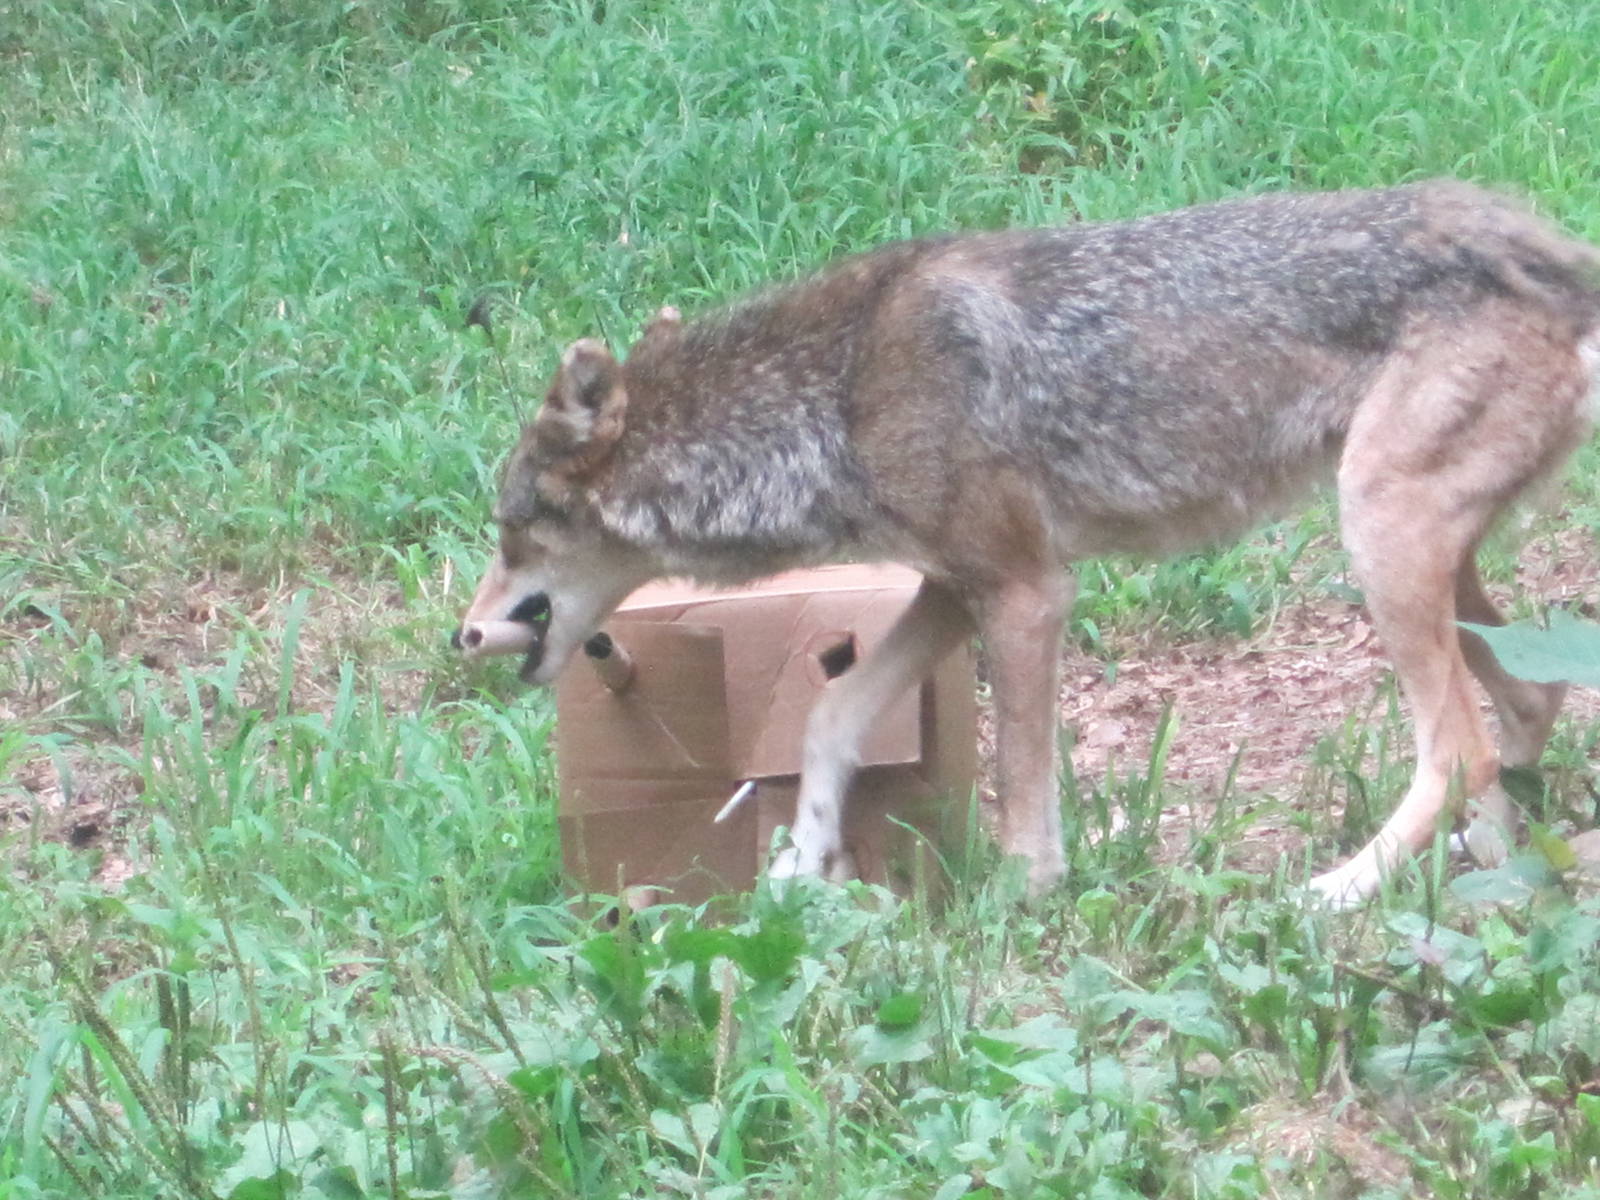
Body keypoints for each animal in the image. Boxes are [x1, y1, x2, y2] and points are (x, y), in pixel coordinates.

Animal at [458, 181, 1600, 906]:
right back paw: (1487, 872)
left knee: (1456, 747)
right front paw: (808, 858)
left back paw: (1337, 892)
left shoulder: (1026, 592)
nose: (464, 635)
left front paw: (1019, 898)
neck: (832, 397)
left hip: (1378, 534)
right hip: (1425, 558)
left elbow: (1019, 782)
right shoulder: (950, 588)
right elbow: (830, 716)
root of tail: (1552, 252)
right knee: (1526, 706)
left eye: (513, 528)